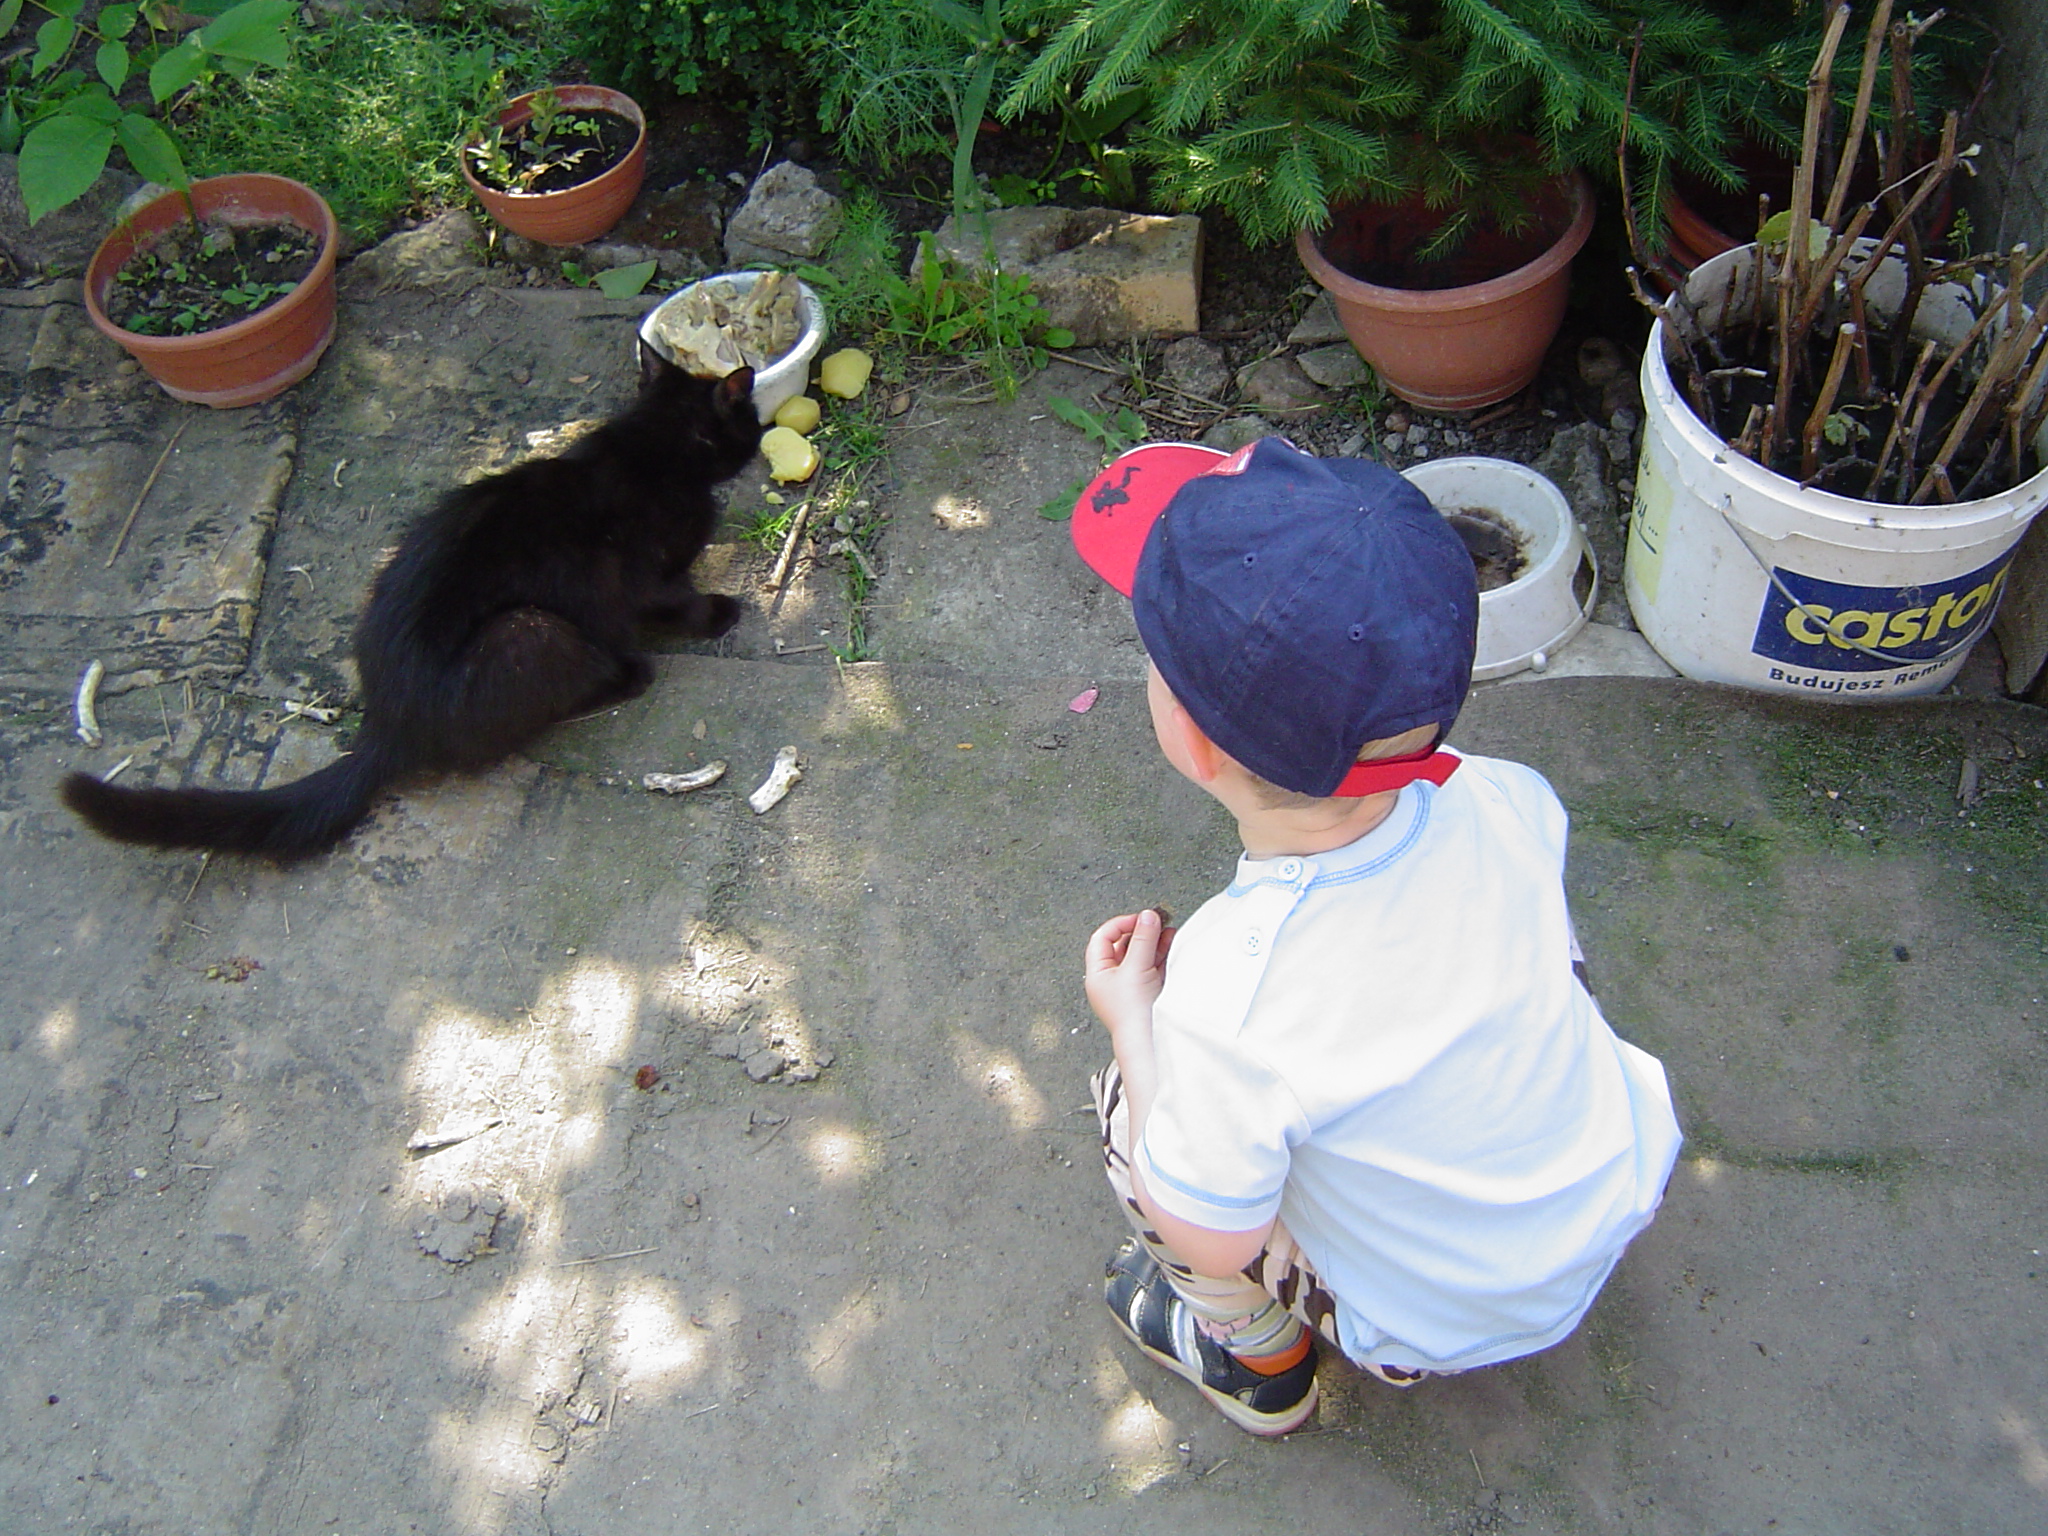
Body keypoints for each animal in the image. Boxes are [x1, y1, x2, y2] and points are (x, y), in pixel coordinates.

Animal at [62, 350, 764, 861]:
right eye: (751, 418)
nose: (761, 431)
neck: (655, 445)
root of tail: (386, 722)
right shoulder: (639, 575)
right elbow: (672, 600)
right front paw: (719, 613)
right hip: (530, 633)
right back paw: (628, 674)